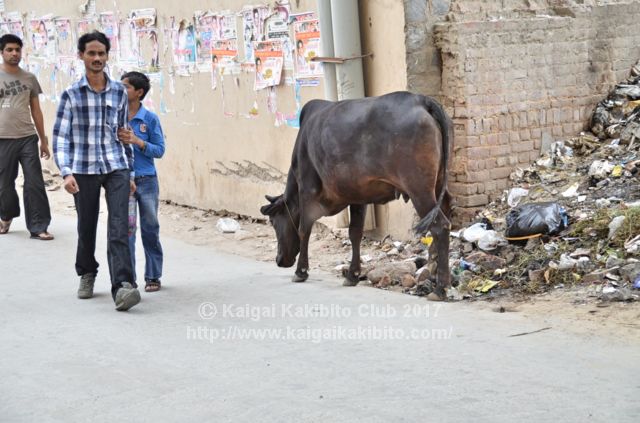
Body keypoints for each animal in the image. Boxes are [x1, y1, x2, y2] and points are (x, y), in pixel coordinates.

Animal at [258, 91, 452, 300]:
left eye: (273, 221)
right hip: (438, 185)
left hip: (419, 190)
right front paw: (353, 274)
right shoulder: (359, 197)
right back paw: (432, 271)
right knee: (447, 210)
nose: (279, 260)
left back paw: (440, 287)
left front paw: (301, 271)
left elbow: (304, 229)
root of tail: (422, 100)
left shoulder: (307, 190)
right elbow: (355, 233)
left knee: (440, 226)